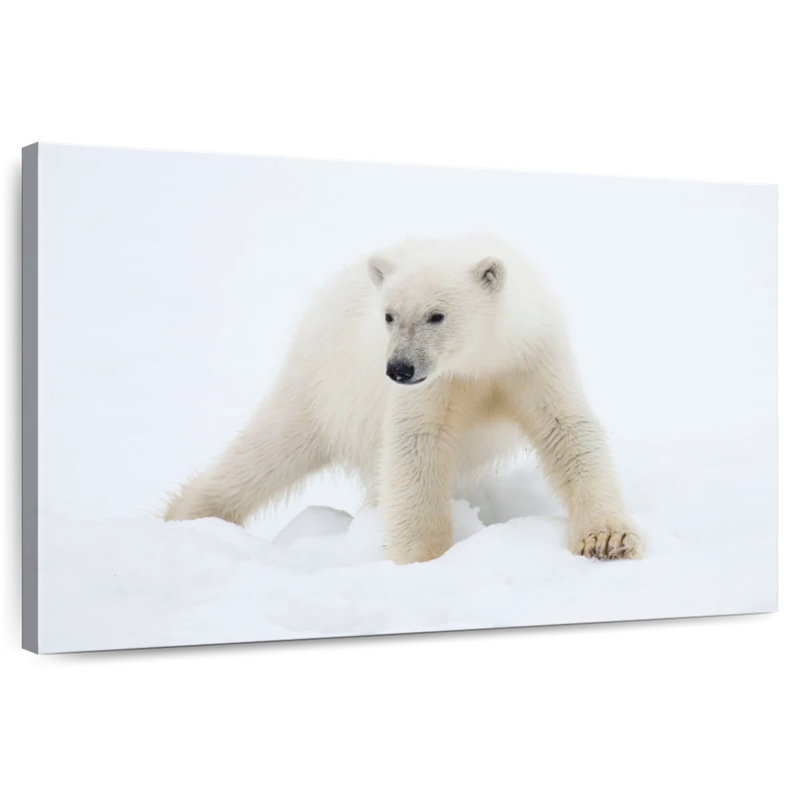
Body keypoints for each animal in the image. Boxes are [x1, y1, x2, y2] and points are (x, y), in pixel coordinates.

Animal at [164, 236, 643, 564]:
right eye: (389, 315)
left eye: (437, 315)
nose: (398, 369)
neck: (479, 359)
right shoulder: (433, 387)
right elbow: (415, 448)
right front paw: (422, 559)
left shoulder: (530, 359)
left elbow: (568, 430)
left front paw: (607, 541)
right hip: (321, 383)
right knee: (263, 453)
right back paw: (186, 518)